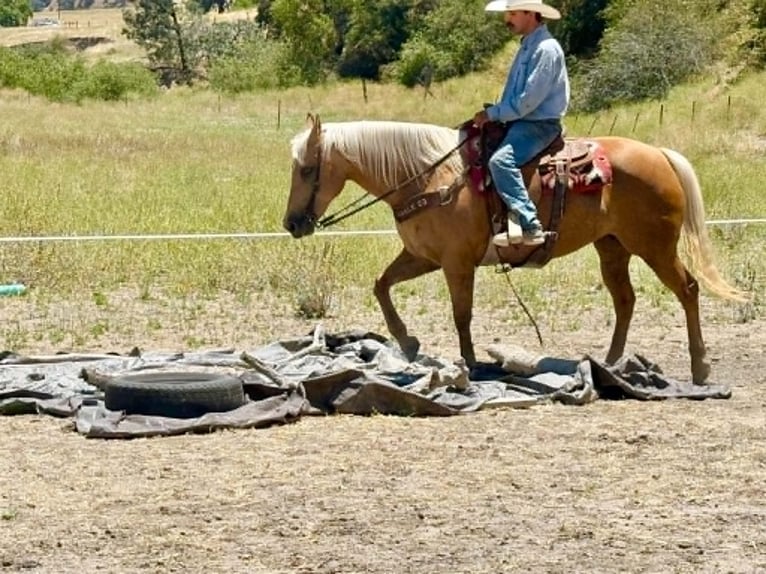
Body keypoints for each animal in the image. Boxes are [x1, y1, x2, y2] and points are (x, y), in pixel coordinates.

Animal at [283, 114, 746, 384]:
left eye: (306, 169)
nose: (292, 223)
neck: (429, 177)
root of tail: (660, 155)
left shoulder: (456, 263)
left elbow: (462, 315)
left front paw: (469, 364)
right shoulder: (423, 257)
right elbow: (381, 285)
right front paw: (408, 341)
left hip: (655, 246)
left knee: (688, 290)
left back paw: (700, 368)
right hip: (612, 248)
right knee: (625, 300)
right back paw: (610, 365)